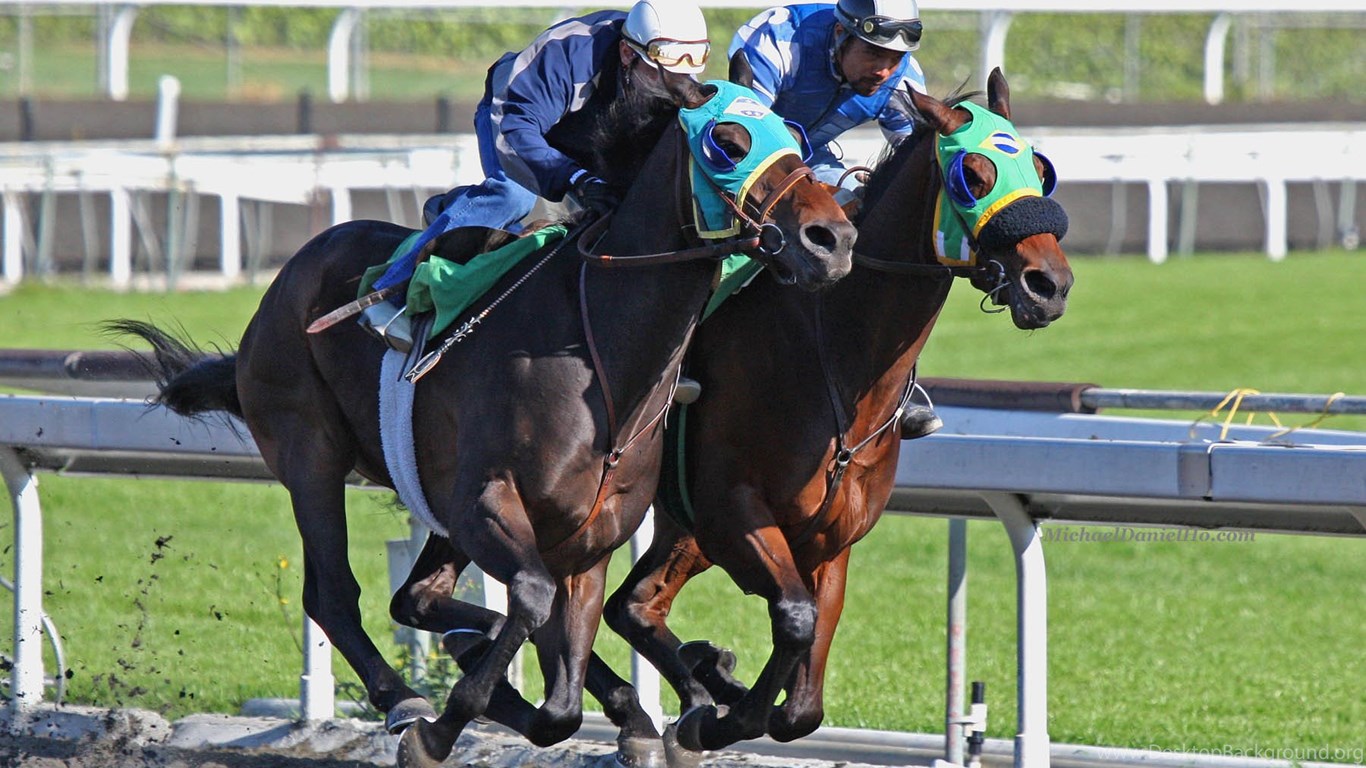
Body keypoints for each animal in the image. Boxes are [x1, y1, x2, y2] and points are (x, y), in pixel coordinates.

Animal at [117, 79, 856, 768]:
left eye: (795, 136)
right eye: (727, 143)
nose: (834, 239)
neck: (603, 360)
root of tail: (293, 269)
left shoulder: (589, 538)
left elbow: (560, 696)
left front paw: (620, 712)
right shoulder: (486, 502)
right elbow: (529, 601)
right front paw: (440, 728)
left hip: (431, 499)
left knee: (418, 599)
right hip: (311, 453)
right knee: (334, 593)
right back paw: (404, 698)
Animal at [598, 68, 1073, 756]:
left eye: (1040, 169)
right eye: (975, 174)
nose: (1050, 285)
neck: (841, 367)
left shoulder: (830, 539)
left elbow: (802, 701)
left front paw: (721, 689)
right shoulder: (733, 509)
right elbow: (792, 622)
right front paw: (716, 715)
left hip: (684, 527)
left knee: (633, 605)